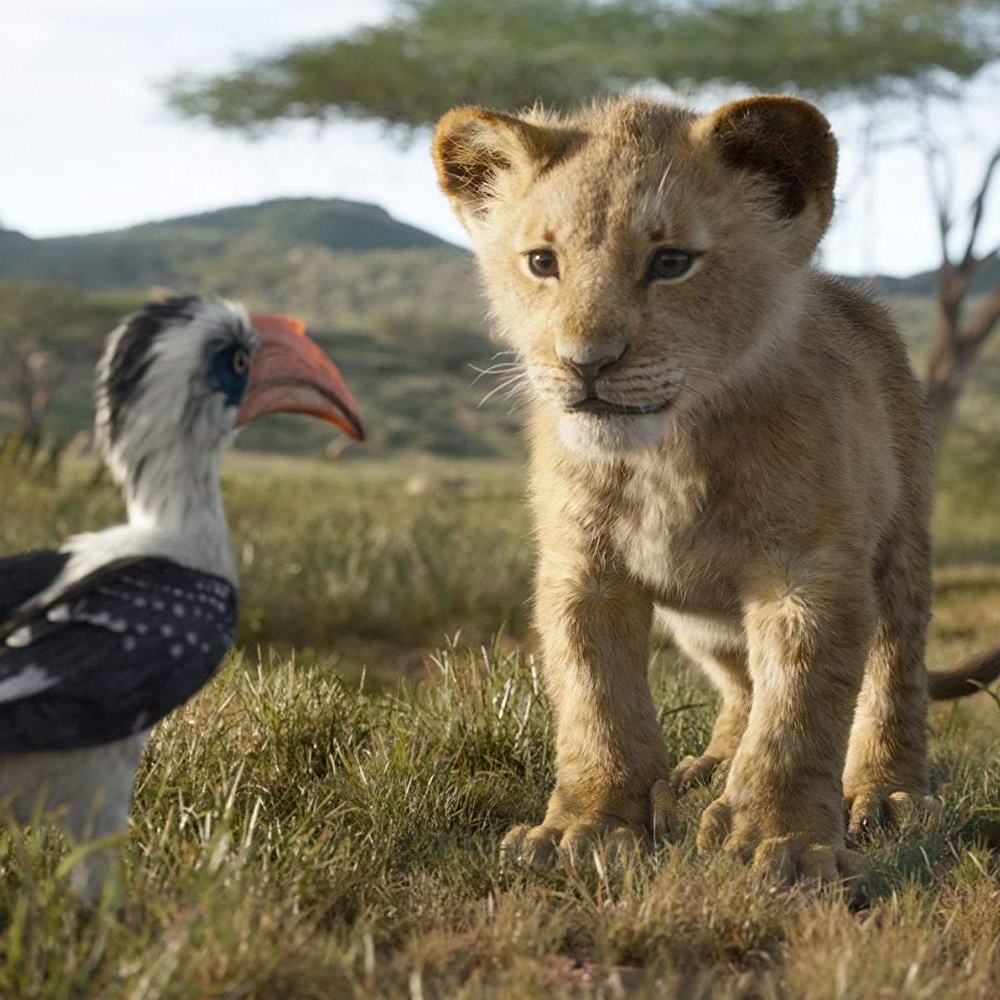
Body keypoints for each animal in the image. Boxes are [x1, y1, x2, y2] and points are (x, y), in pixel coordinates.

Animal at [431, 94, 1000, 892]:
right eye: (543, 262)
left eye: (671, 262)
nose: (586, 364)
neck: (667, 453)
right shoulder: (583, 571)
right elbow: (596, 701)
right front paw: (586, 829)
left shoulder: (809, 574)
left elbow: (800, 713)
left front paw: (784, 843)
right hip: (700, 621)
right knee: (740, 685)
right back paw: (708, 770)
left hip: (901, 547)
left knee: (893, 666)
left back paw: (887, 793)